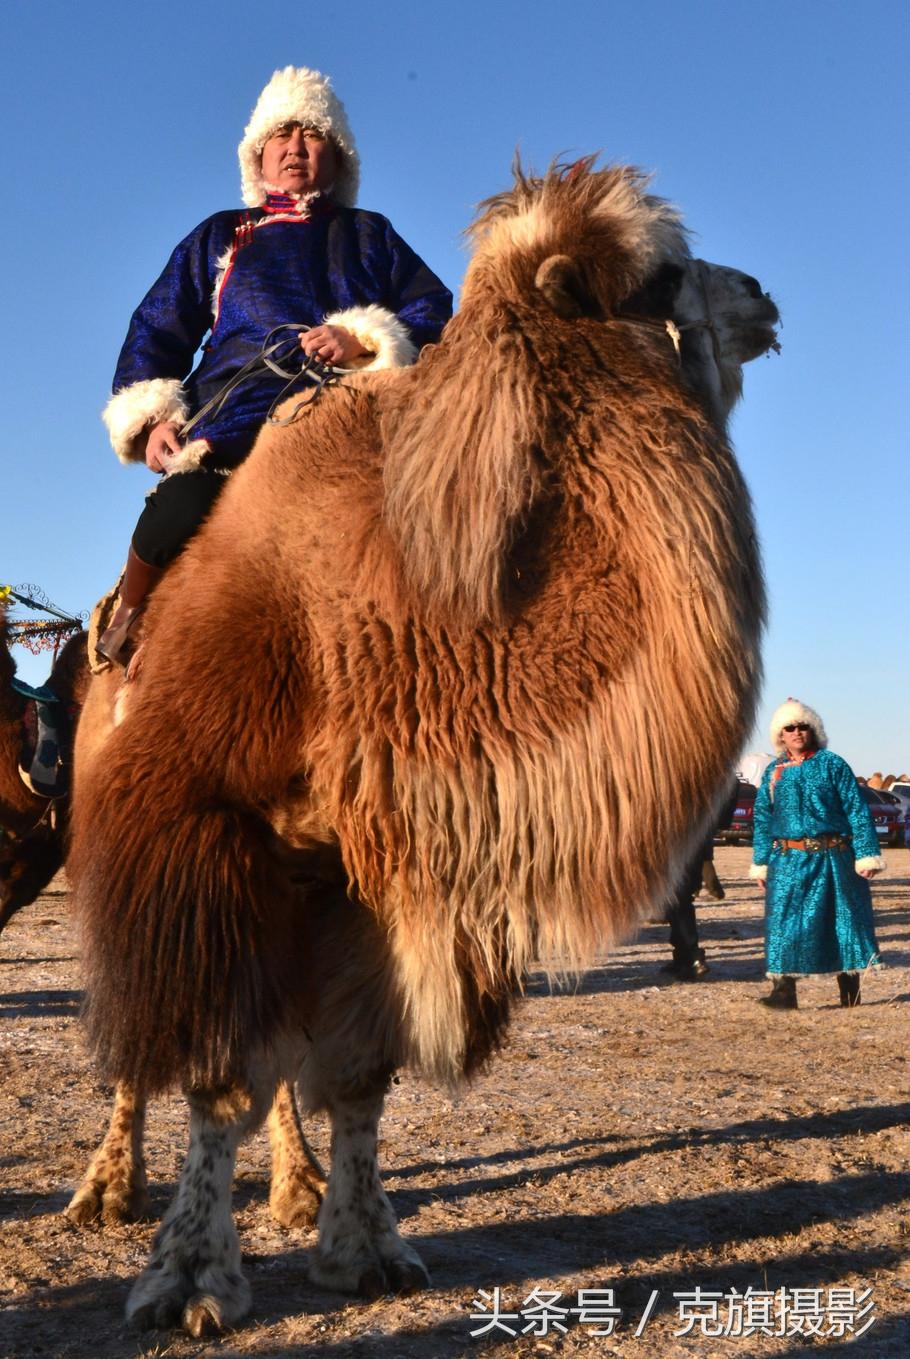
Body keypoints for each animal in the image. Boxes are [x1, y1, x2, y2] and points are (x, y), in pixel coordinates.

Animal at [69, 161, 771, 1337]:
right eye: (663, 273)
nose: (762, 296)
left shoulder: (386, 879)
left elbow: (358, 1075)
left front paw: (364, 1248)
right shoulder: (207, 832)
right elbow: (215, 1072)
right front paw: (188, 1280)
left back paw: (294, 1184)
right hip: (121, 831)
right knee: (141, 1035)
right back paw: (103, 1191)